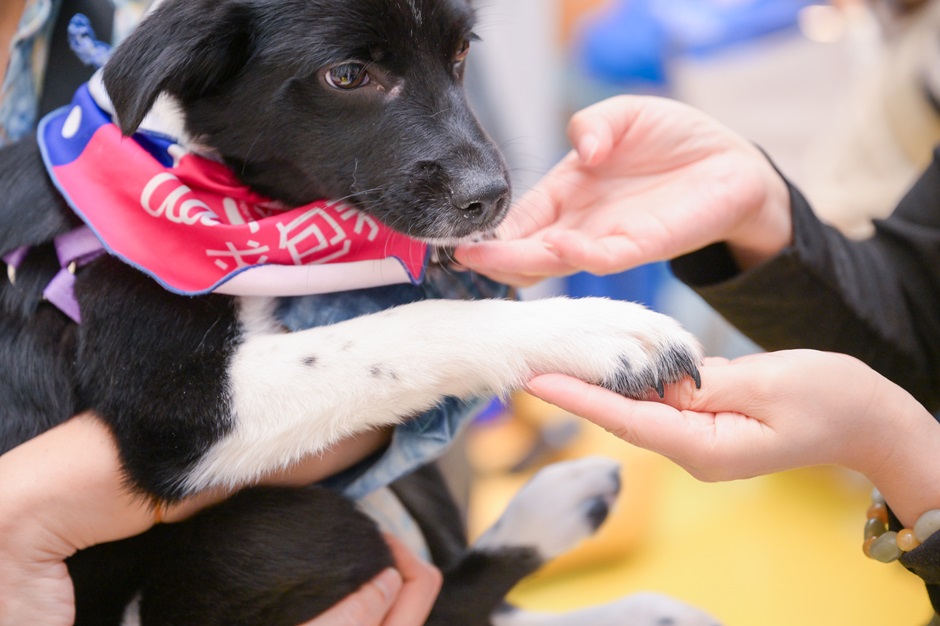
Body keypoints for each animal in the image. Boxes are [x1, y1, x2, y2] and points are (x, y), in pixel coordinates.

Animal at [0, 1, 704, 624]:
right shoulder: (177, 410)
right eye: (346, 75)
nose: (492, 198)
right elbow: (408, 329)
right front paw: (599, 329)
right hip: (276, 528)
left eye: (461, 52)